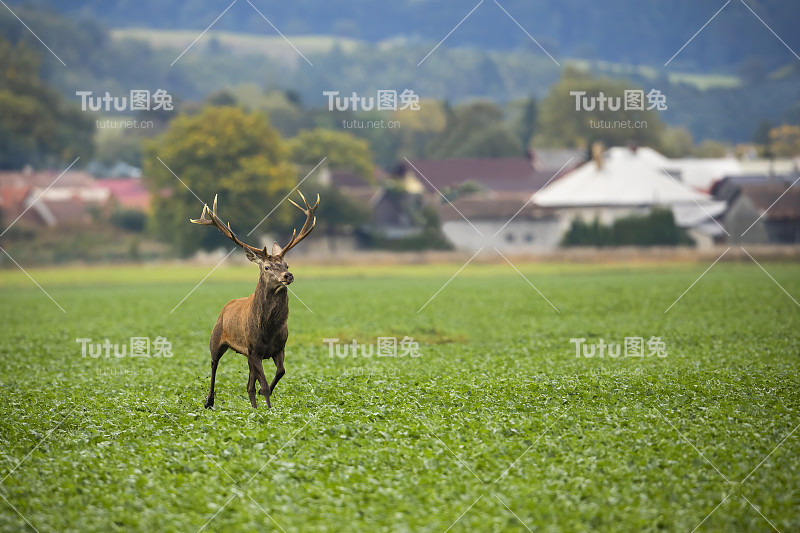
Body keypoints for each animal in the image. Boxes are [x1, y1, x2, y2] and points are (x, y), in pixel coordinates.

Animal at [191, 191, 318, 408]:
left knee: (248, 384)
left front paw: (262, 401)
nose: (288, 276)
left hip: (247, 354)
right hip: (216, 339)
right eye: (267, 267)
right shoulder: (254, 349)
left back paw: (253, 405)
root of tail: (226, 306)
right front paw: (267, 407)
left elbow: (280, 372)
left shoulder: (277, 348)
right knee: (214, 364)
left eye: (287, 264)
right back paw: (209, 400)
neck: (267, 328)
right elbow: (264, 384)